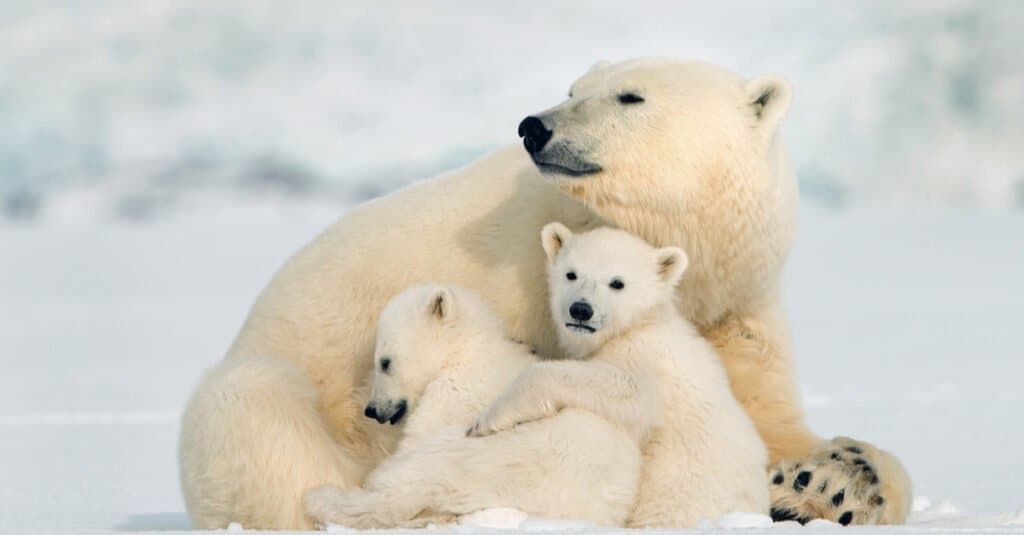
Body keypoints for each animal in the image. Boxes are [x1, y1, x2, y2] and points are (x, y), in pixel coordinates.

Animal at [468, 222, 770, 524]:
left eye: (617, 283)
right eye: (571, 273)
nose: (581, 310)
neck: (638, 324)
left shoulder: (647, 361)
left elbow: (624, 389)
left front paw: (486, 421)